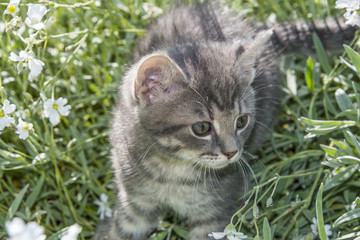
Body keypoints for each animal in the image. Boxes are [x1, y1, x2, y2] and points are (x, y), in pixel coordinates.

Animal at [94, 2, 356, 240]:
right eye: (202, 128)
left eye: (241, 121)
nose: (232, 153)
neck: (172, 171)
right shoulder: (133, 203)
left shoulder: (214, 216)